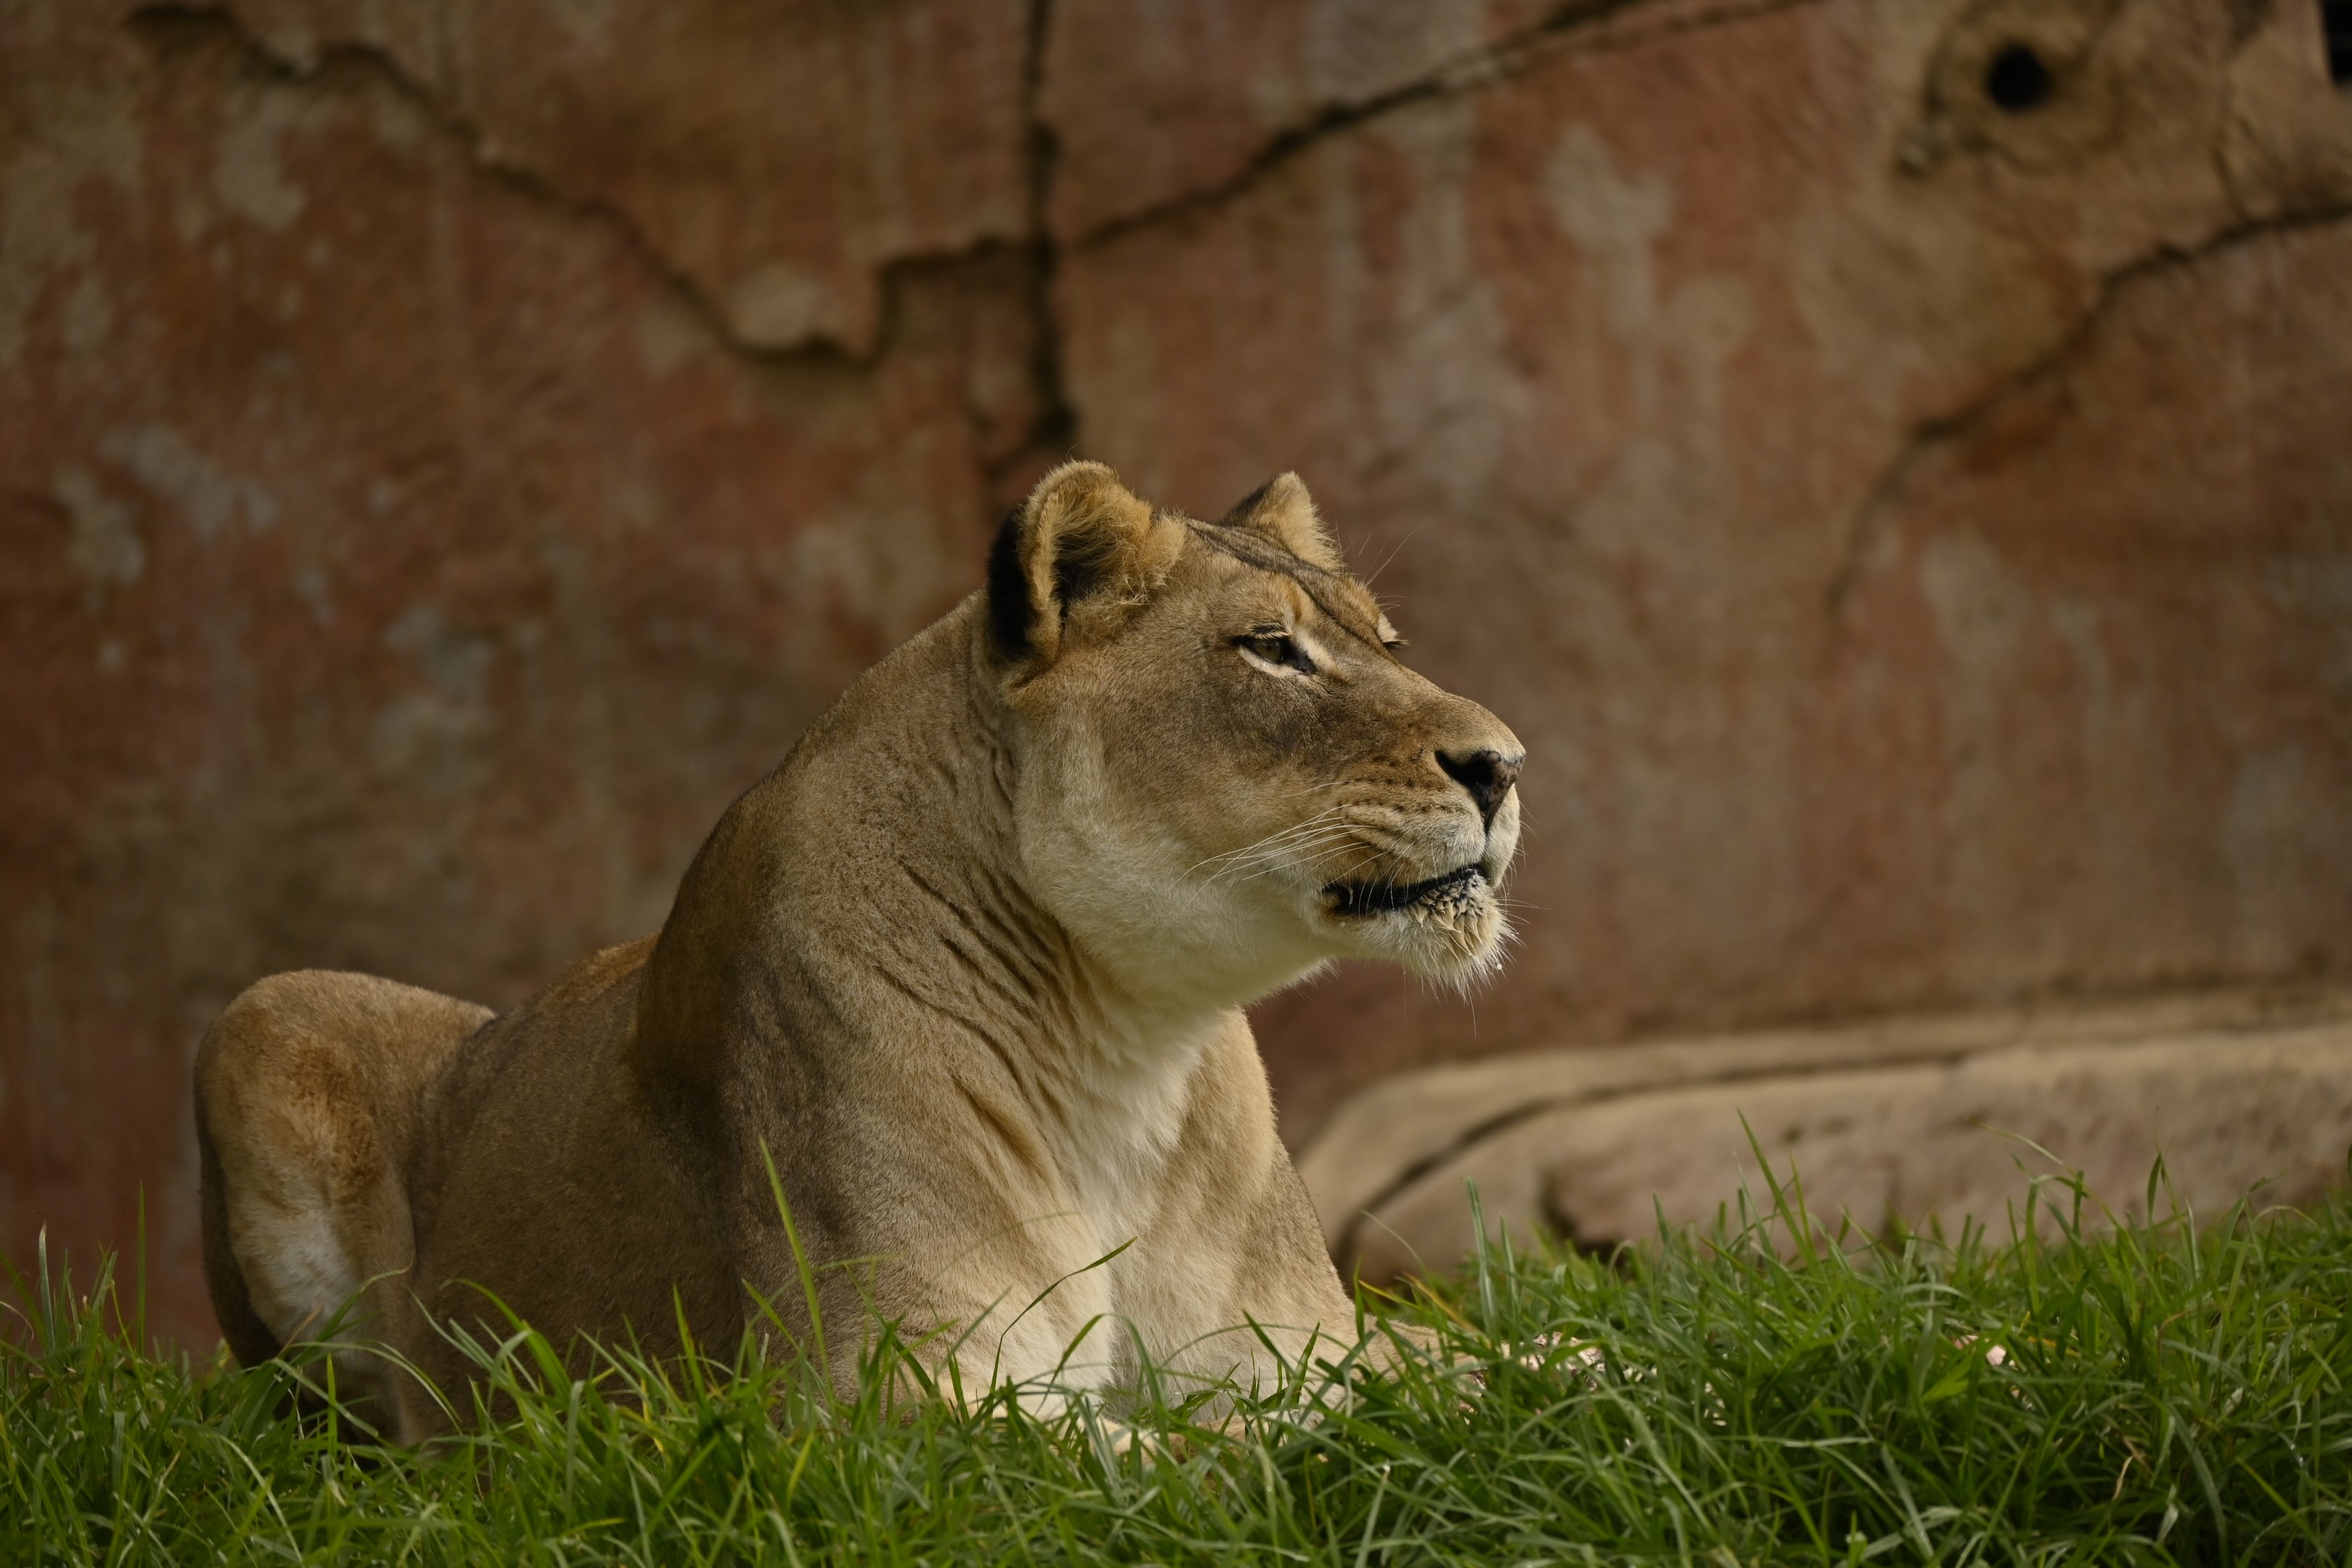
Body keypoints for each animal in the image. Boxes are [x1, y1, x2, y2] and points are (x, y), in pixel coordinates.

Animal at [194, 461, 1523, 1441]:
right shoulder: (887, 1393)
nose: (1505, 767)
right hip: (262, 1014)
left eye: (1387, 641)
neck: (1130, 1040)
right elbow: (1221, 1447)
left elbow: (1494, 1363)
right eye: (1270, 650)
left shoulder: (1299, 1343)